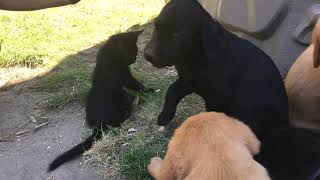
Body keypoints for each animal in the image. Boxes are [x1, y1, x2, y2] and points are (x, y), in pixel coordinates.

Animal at [47, 31, 152, 172]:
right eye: (133, 51)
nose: (134, 59)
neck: (110, 51)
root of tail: (99, 123)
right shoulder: (125, 76)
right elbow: (136, 84)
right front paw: (151, 90)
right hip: (123, 97)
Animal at [144, 0, 288, 148]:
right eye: (156, 26)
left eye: (178, 35)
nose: (148, 55)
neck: (195, 57)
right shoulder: (187, 81)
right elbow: (171, 91)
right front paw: (165, 115)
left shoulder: (218, 97)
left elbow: (212, 116)